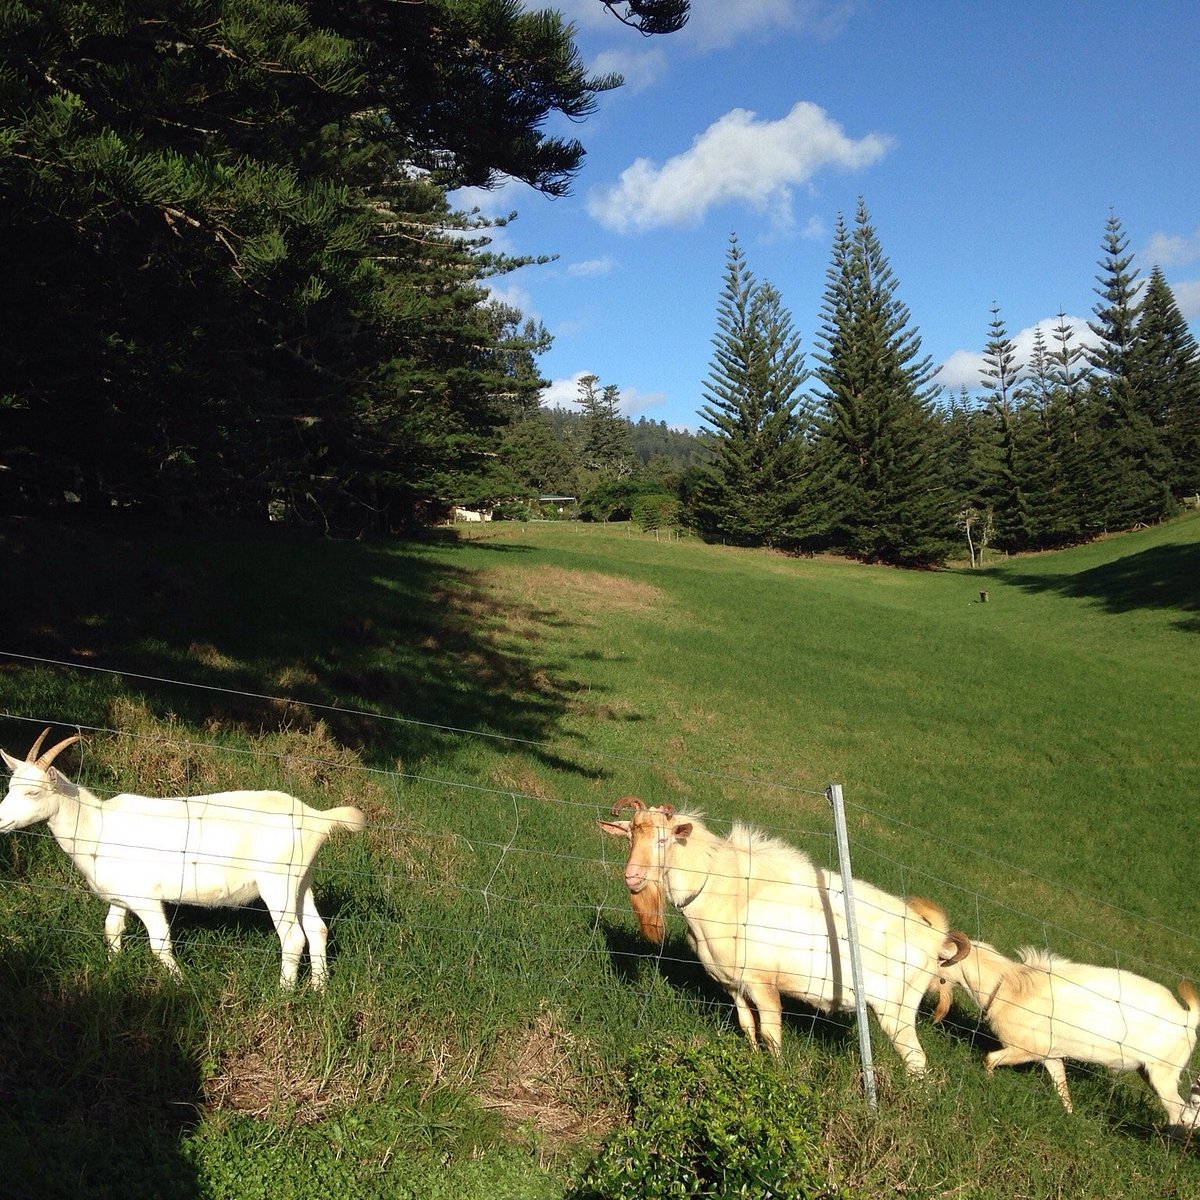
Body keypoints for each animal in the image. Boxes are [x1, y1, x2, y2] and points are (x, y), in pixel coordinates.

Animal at [0, 724, 364, 988]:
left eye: (32, 792)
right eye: (10, 787)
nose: (0, 820)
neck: (96, 825)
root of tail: (316, 818)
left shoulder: (146, 898)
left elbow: (159, 942)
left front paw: (179, 985)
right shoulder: (120, 896)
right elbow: (112, 929)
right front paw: (114, 971)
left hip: (278, 882)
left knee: (293, 937)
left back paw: (284, 994)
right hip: (302, 880)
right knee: (317, 929)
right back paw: (319, 989)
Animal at [595, 801, 969, 1075]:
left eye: (663, 840)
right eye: (630, 836)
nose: (632, 875)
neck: (722, 887)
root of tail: (934, 936)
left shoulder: (762, 983)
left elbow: (771, 1033)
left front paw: (773, 1073)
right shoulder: (733, 983)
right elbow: (748, 1026)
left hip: (898, 1009)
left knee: (916, 1060)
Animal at [936, 936, 1200, 1123]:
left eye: (940, 957)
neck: (1009, 987)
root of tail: (1187, 1016)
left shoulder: (1025, 1049)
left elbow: (989, 1059)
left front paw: (988, 1082)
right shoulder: (1051, 1055)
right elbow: (1063, 1090)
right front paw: (1070, 1117)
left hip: (1163, 1074)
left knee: (1179, 1113)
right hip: (1149, 1072)